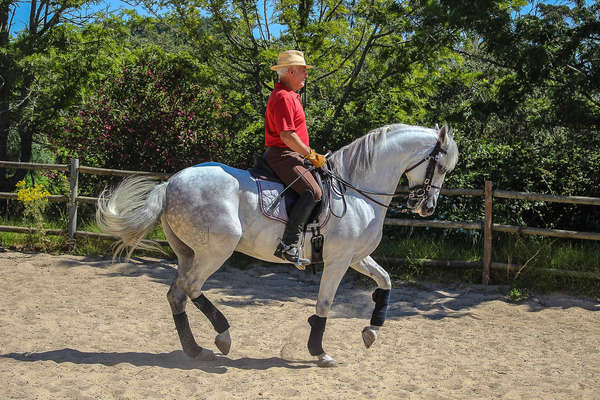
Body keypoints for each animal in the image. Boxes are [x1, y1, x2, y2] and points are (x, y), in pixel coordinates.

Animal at [96, 123, 458, 368]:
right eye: (440, 166)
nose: (427, 208)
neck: (357, 191)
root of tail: (170, 184)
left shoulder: (358, 257)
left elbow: (385, 281)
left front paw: (372, 331)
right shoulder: (339, 260)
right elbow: (325, 303)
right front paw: (319, 351)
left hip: (188, 251)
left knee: (177, 294)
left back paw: (195, 349)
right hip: (216, 250)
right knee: (191, 287)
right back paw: (223, 336)